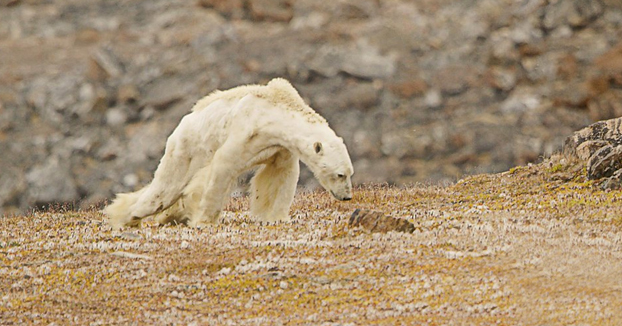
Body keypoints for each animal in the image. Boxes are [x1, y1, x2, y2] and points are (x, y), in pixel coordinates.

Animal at [105, 78, 354, 229]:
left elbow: (280, 176)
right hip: (186, 149)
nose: (347, 196)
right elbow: (223, 166)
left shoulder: (279, 147)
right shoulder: (246, 130)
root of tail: (181, 125)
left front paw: (277, 217)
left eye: (349, 173)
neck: (276, 111)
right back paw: (127, 217)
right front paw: (204, 220)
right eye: (340, 174)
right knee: (164, 190)